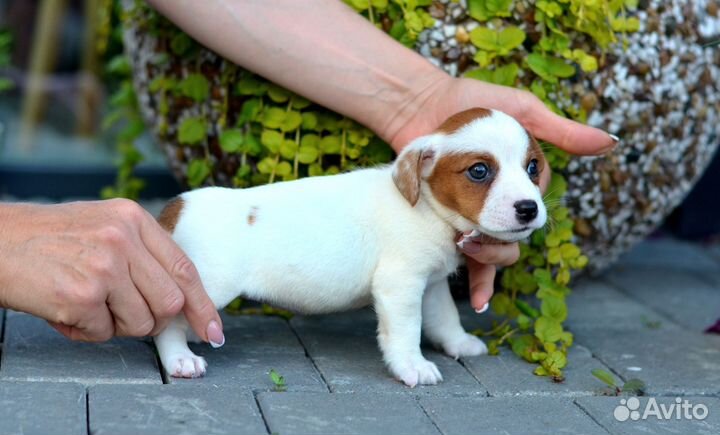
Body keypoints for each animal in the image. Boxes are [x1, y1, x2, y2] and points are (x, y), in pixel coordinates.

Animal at [153, 107, 544, 386]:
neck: (429, 209)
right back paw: (180, 359)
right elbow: (406, 332)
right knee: (167, 325)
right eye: (479, 171)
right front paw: (413, 366)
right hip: (206, 285)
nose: (529, 208)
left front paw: (459, 343)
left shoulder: (431, 285)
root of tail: (179, 206)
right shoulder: (400, 286)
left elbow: (445, 317)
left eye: (533, 167)